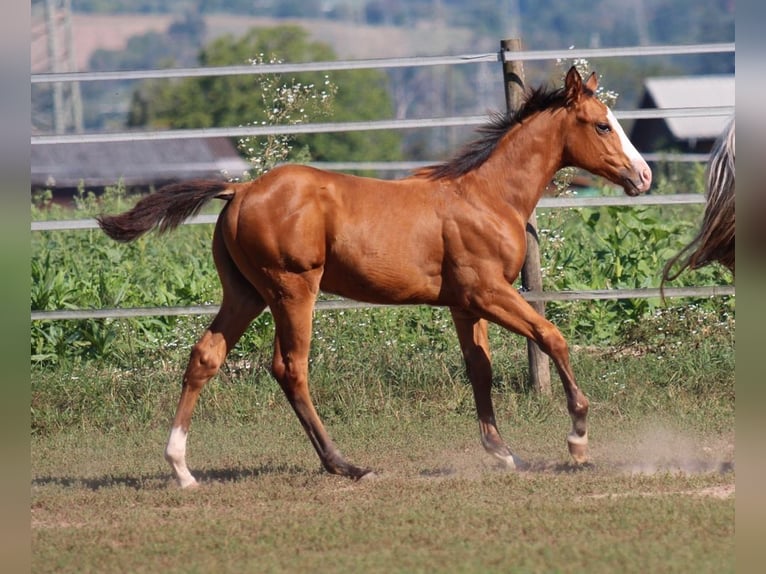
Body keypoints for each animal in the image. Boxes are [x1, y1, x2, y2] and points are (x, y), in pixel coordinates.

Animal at [97, 68, 656, 490]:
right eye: (602, 125)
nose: (644, 177)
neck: (487, 195)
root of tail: (240, 190)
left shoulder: (464, 304)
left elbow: (480, 370)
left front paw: (502, 452)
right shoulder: (488, 292)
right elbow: (551, 336)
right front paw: (578, 438)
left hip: (246, 293)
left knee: (205, 356)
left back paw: (181, 468)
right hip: (291, 290)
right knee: (290, 368)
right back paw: (345, 464)